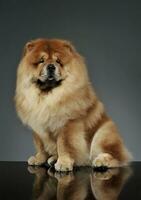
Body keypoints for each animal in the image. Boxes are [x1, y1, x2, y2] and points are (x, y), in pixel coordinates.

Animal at [14, 38, 132, 171]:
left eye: (58, 61)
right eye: (41, 61)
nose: (51, 66)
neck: (48, 97)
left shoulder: (68, 124)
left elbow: (64, 145)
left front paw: (64, 164)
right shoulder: (38, 127)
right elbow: (41, 146)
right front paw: (38, 159)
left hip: (104, 133)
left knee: (116, 156)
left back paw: (101, 161)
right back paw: (53, 159)